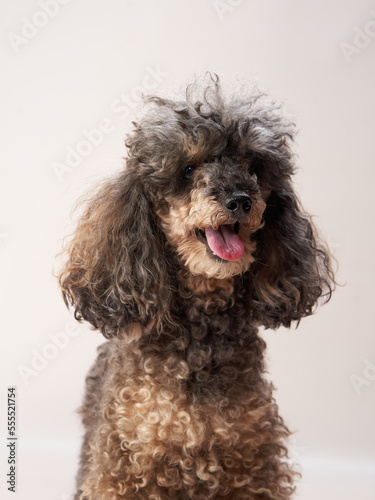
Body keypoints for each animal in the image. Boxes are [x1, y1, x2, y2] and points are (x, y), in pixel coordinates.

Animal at [58, 75, 334, 500]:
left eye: (254, 167)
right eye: (188, 169)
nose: (240, 200)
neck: (200, 334)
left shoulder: (253, 464)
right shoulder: (122, 466)